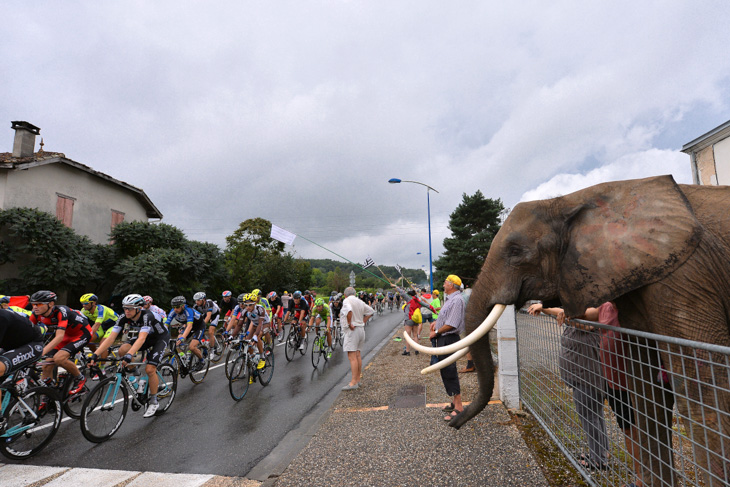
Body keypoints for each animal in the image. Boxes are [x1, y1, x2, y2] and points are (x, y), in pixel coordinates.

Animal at [404, 176, 728, 487]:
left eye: (516, 251)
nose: (452, 422)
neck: (573, 200)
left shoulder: (687, 276)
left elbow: (704, 394)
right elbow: (645, 387)